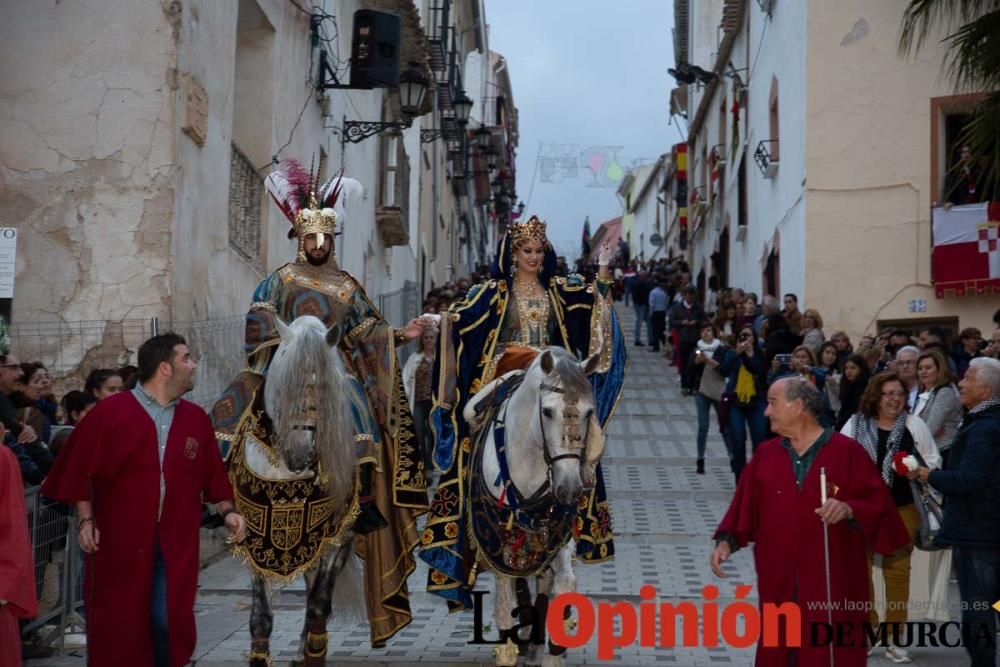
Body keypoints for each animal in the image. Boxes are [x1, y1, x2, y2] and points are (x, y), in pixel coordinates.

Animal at [242, 314, 368, 667]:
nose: (299, 455)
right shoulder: (255, 536)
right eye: (283, 386)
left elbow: (318, 605)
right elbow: (261, 616)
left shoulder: (335, 536)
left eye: (325, 389)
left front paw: (313, 653)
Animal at [464, 350, 604, 667]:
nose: (570, 488)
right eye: (547, 411)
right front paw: (508, 650)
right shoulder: (495, 540)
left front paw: (552, 654)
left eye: (589, 412)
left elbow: (564, 587)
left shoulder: (559, 537)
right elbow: (506, 600)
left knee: (542, 579)